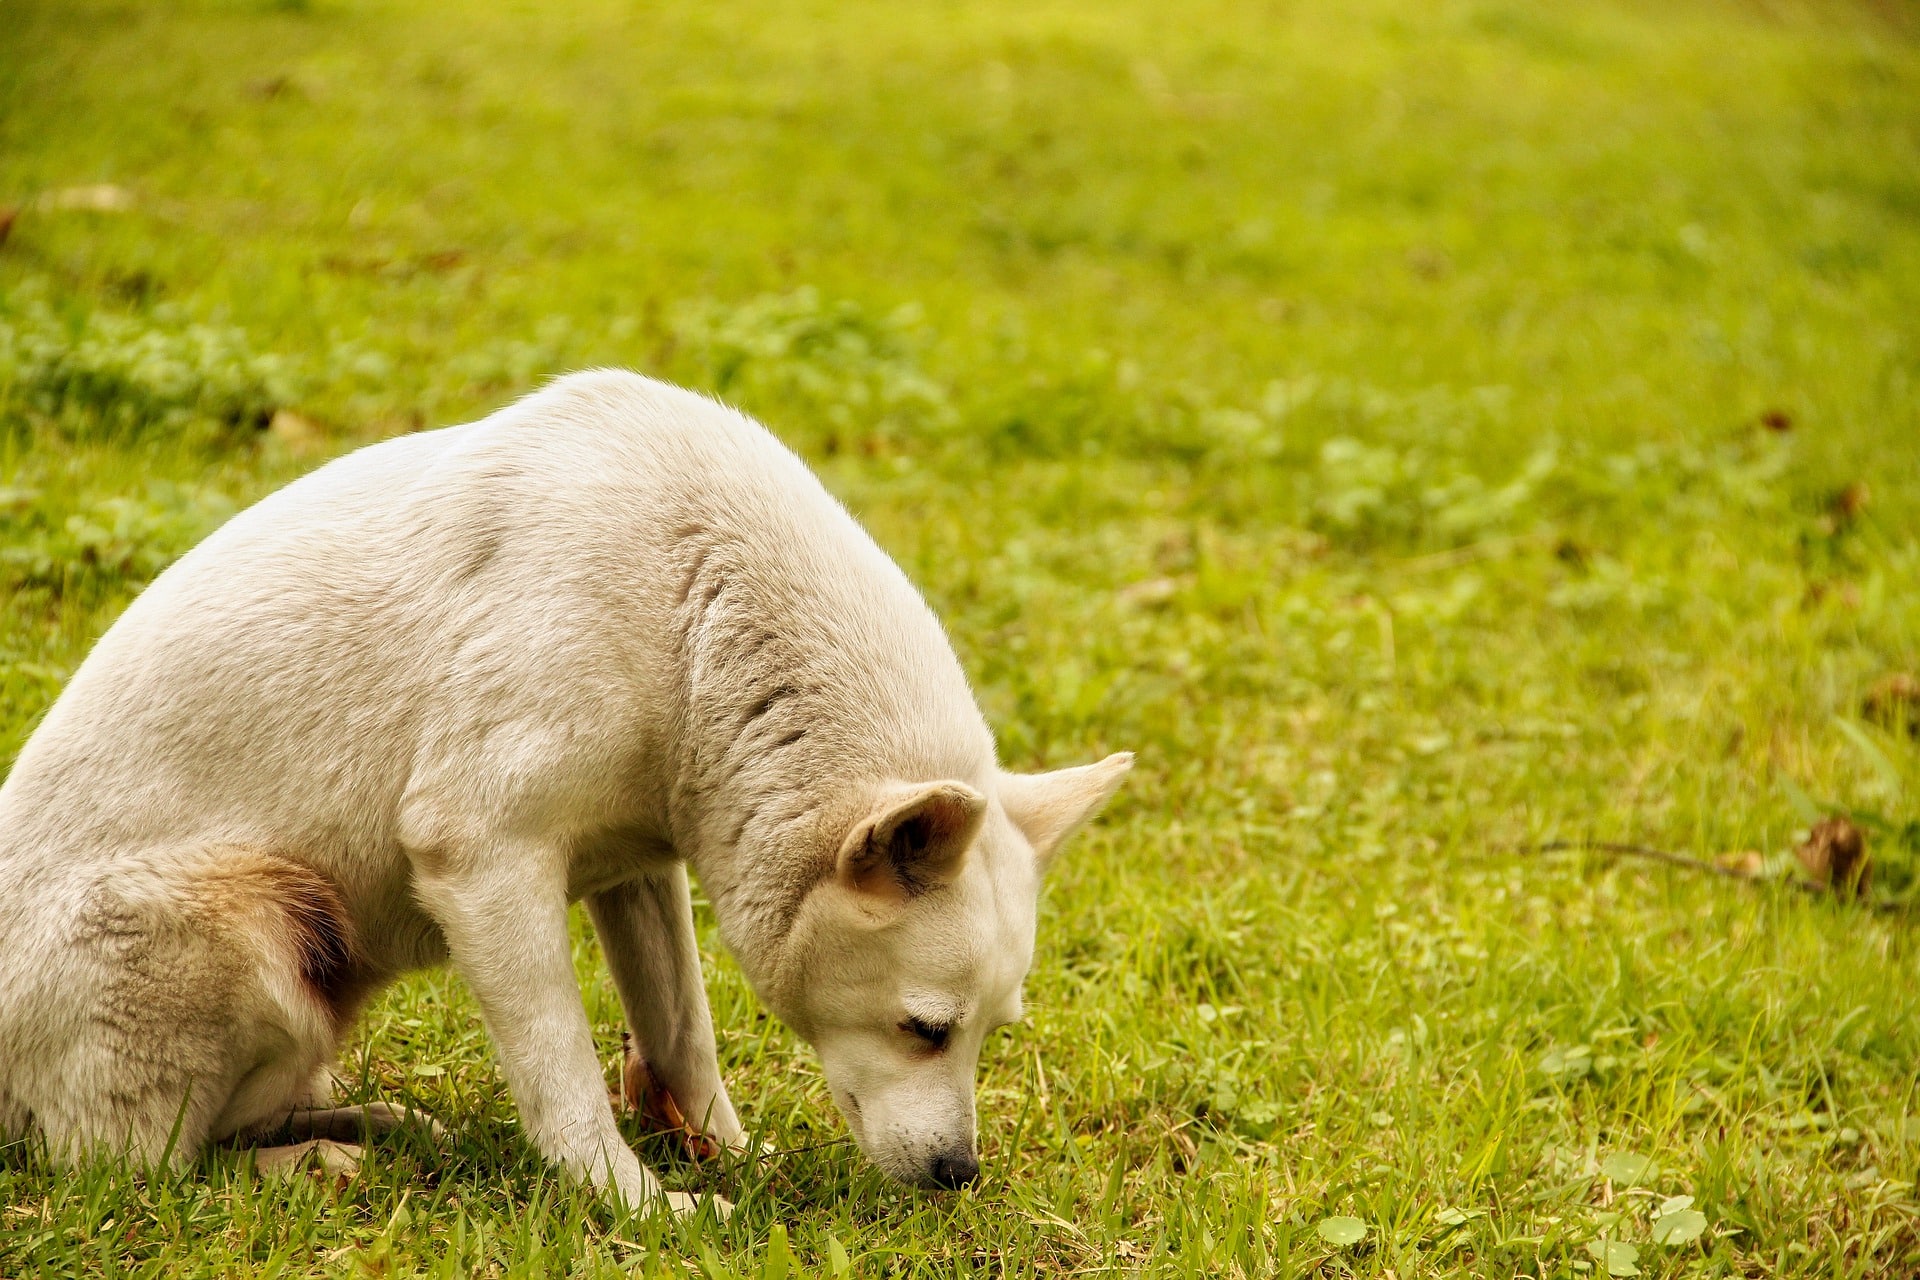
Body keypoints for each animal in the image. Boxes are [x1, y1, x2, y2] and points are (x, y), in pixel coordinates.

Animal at [0, 370, 1121, 1212]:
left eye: (993, 1030)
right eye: (924, 1029)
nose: (958, 1175)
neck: (694, 606)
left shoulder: (639, 863)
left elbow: (682, 1034)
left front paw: (730, 1154)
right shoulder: (481, 856)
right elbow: (562, 1073)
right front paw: (645, 1205)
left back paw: (380, 1126)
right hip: (257, 918)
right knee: (135, 1167)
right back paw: (311, 1163)